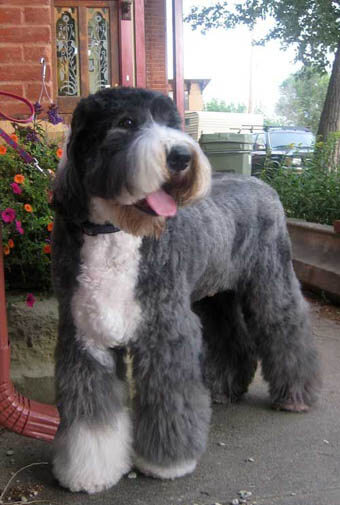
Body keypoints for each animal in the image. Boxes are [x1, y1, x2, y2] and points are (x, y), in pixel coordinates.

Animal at [51, 86, 320, 492]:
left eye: (172, 123)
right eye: (126, 121)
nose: (181, 156)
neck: (116, 230)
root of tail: (263, 183)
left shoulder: (165, 331)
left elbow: (169, 398)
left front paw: (167, 463)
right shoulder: (85, 338)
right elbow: (91, 414)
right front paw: (89, 472)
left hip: (271, 284)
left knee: (287, 329)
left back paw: (296, 396)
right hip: (215, 297)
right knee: (232, 339)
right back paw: (225, 388)